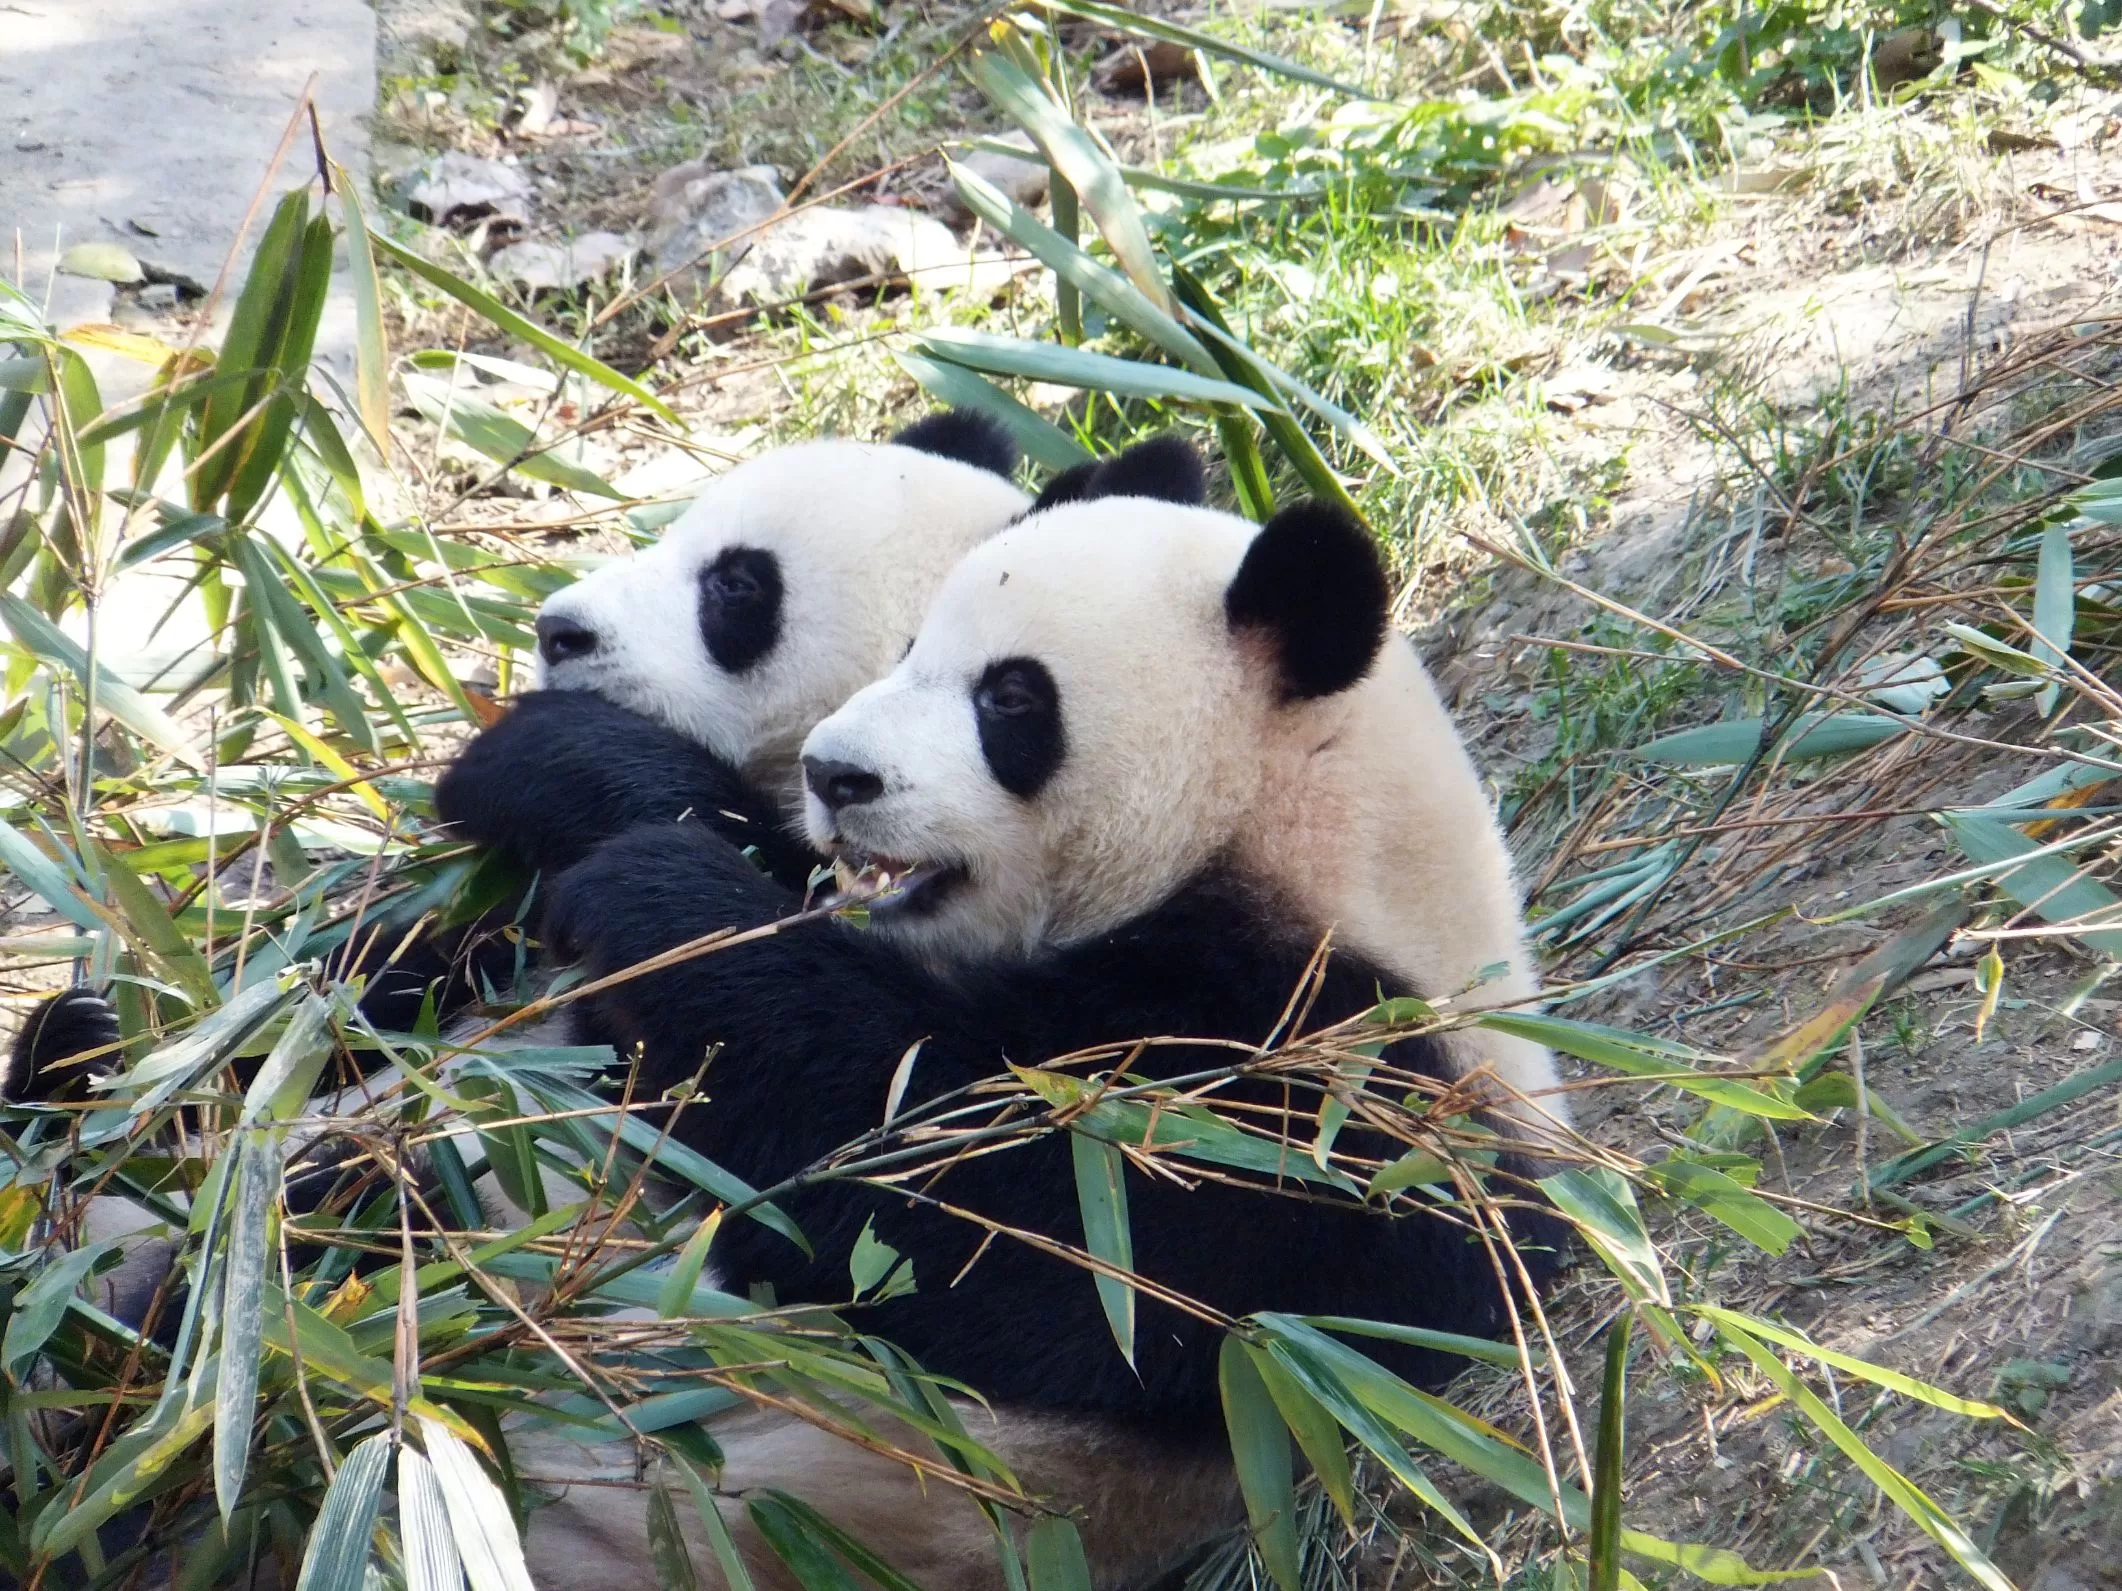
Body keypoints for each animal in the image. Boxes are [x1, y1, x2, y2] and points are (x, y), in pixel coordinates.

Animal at [530, 451, 1568, 1589]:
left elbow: (994, 1211)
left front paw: (641, 874)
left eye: (1012, 696)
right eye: (909, 647)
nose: (833, 773)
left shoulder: (1330, 1111)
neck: (1301, 829)